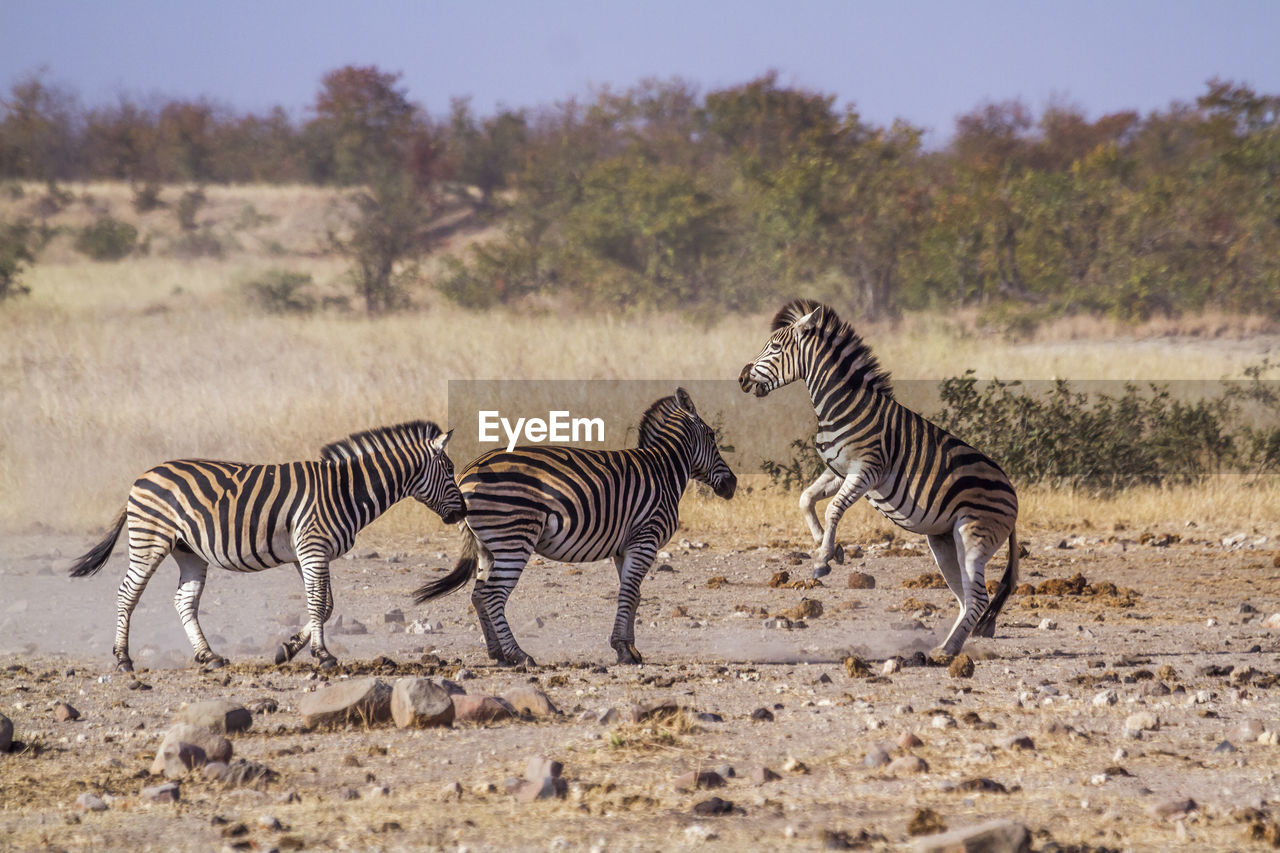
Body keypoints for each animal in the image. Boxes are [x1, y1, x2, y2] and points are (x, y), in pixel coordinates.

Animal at [417, 386, 742, 666]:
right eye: (712, 436)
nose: (732, 485)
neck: (664, 470)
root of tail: (465, 474)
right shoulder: (645, 539)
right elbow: (629, 594)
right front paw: (624, 651)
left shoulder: (625, 547)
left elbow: (633, 595)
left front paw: (629, 648)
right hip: (514, 539)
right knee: (491, 595)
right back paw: (519, 655)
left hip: (488, 546)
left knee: (478, 595)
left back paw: (497, 654)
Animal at [742, 302, 1018, 653]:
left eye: (775, 348)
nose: (742, 378)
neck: (842, 406)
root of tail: (1014, 495)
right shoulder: (838, 470)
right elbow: (806, 498)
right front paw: (826, 544)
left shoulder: (866, 471)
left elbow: (833, 508)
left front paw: (823, 560)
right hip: (944, 541)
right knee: (966, 598)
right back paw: (946, 647)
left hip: (973, 538)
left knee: (979, 598)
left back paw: (946, 651)